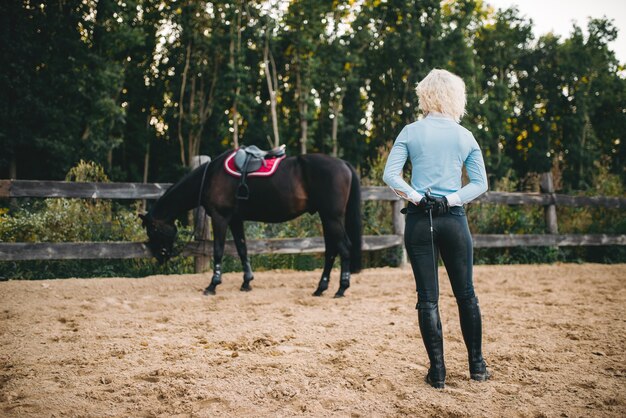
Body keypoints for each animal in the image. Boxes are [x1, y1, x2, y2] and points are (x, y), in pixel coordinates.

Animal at [138, 150, 358, 298]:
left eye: (153, 230)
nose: (160, 257)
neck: (211, 176)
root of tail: (343, 163)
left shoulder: (220, 218)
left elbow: (218, 250)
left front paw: (212, 285)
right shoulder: (236, 220)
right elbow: (242, 249)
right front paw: (246, 283)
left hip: (331, 217)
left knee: (345, 248)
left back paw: (341, 288)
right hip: (327, 218)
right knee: (331, 250)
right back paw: (320, 288)